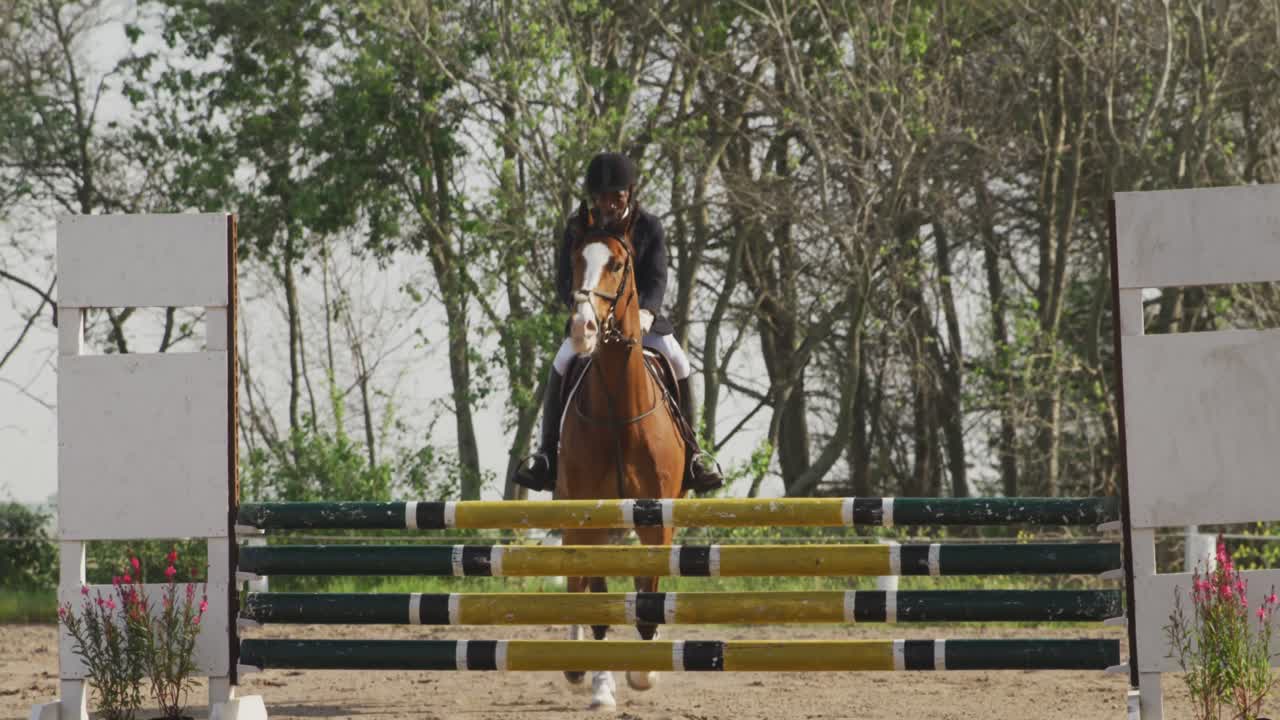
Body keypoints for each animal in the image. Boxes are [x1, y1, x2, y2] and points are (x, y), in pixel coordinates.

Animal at [556, 215, 688, 710]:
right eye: (575, 259)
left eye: (616, 264)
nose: (583, 328)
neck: (619, 411)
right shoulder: (590, 517)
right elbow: (596, 604)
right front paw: (601, 687)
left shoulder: (657, 519)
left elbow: (648, 595)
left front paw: (643, 672)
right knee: (576, 581)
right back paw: (576, 667)